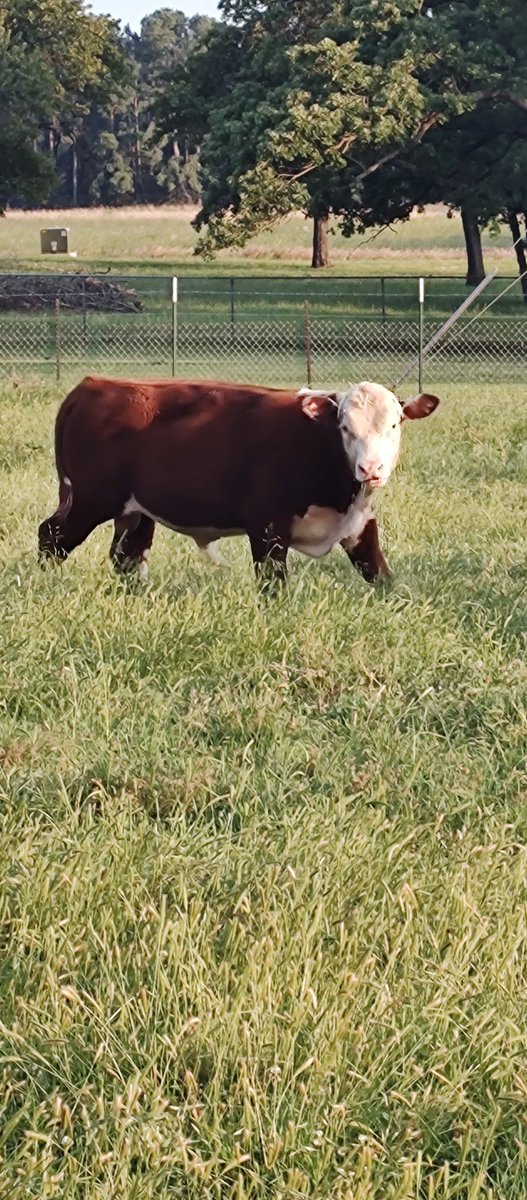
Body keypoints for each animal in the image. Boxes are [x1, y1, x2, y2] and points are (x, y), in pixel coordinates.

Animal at [38, 375, 439, 586]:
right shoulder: (267, 527)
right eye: (345, 427)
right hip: (90, 500)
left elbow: (380, 574)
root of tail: (94, 384)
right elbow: (273, 584)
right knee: (51, 536)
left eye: (393, 424)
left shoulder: (359, 526)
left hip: (135, 512)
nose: (371, 468)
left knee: (127, 555)